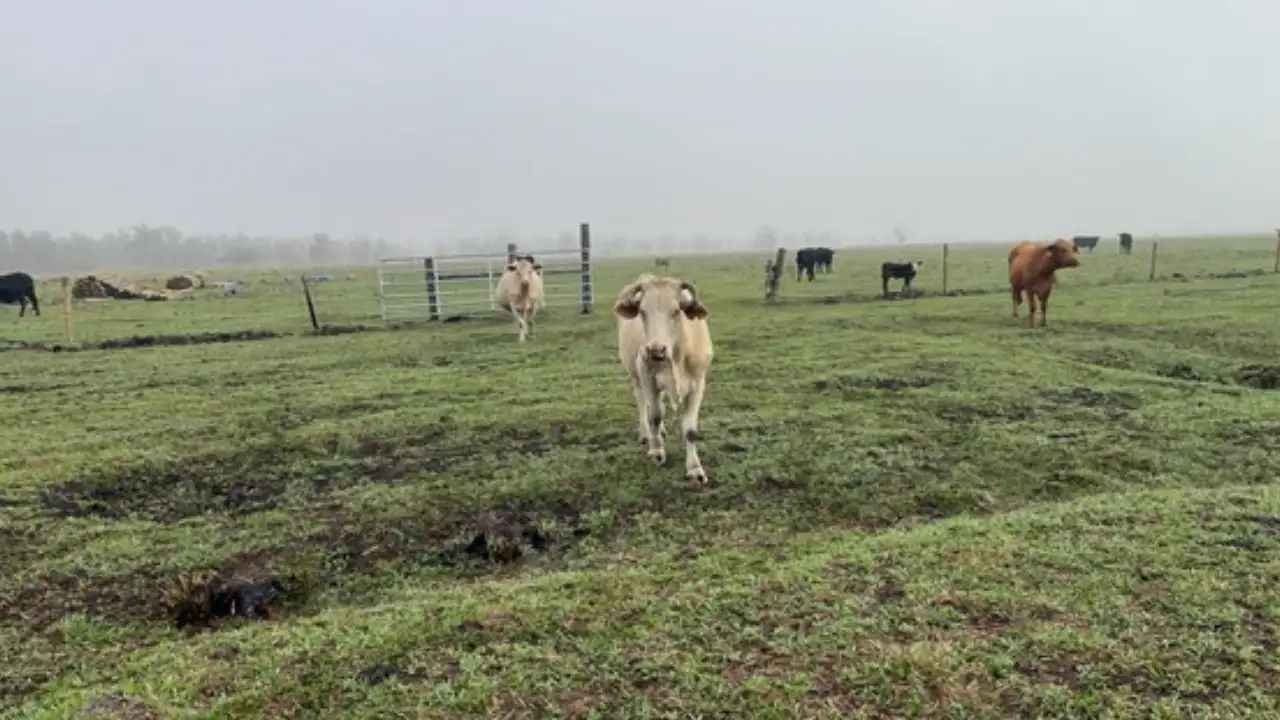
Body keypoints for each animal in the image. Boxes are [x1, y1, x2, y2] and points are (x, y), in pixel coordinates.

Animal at [614, 274, 713, 485]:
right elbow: (655, 416)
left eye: (676, 311)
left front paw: (695, 469)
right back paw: (647, 434)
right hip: (636, 376)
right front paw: (657, 451)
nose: (656, 350)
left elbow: (690, 430)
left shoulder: (698, 384)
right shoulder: (648, 377)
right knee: (643, 403)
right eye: (642, 311)